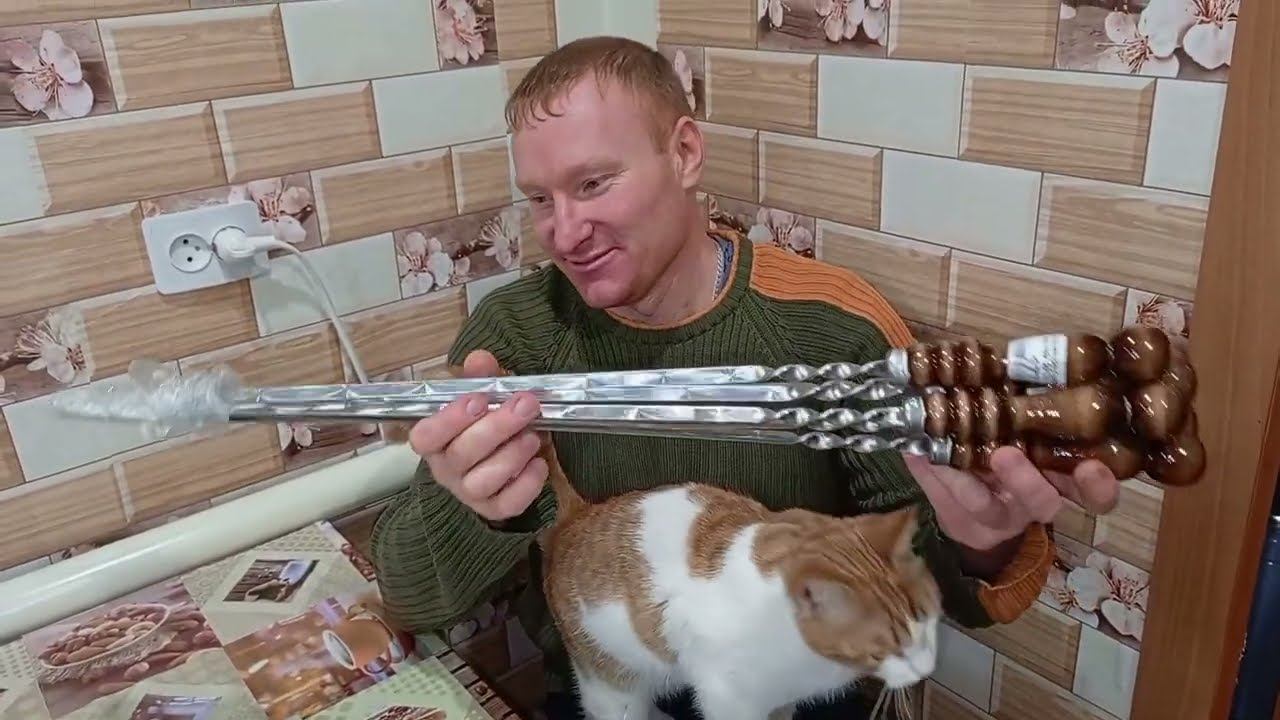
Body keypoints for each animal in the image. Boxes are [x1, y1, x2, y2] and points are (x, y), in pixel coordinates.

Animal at [538, 442, 943, 720]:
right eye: (883, 651)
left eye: (929, 623)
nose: (926, 669)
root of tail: (577, 514)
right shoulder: (729, 699)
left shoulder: (781, 700)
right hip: (612, 687)